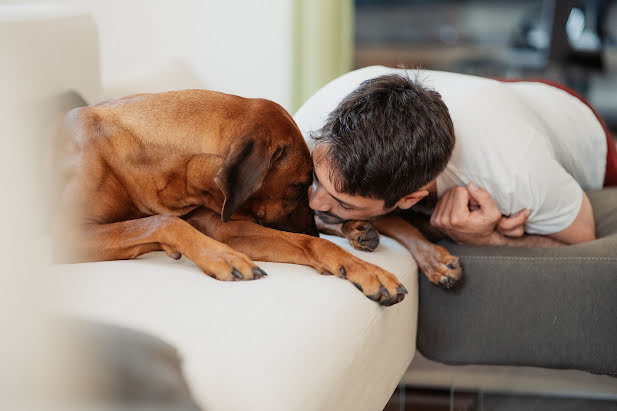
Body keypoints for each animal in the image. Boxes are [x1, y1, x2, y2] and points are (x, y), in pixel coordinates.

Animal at [56, 90, 410, 306]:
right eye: (299, 186)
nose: (311, 229)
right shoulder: (63, 238)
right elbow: (162, 222)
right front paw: (222, 257)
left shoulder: (225, 224)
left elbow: (312, 245)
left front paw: (368, 271)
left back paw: (359, 231)